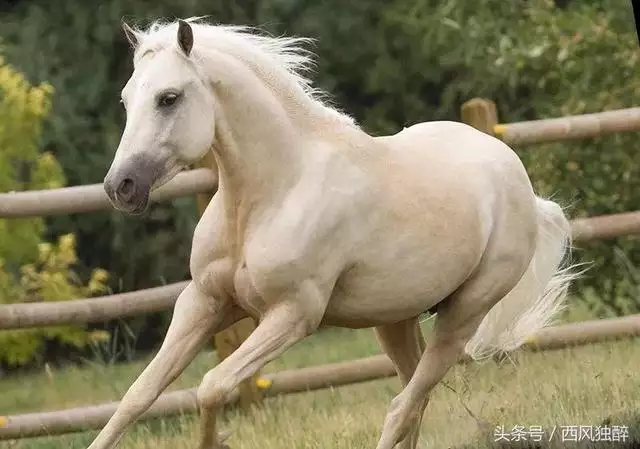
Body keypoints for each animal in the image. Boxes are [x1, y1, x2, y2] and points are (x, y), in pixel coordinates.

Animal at [92, 17, 576, 448]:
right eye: (126, 100)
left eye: (169, 98)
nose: (120, 186)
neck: (274, 194)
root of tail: (520, 183)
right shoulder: (204, 302)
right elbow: (138, 396)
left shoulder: (293, 314)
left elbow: (212, 386)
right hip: (395, 319)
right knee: (413, 402)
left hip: (462, 317)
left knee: (402, 406)